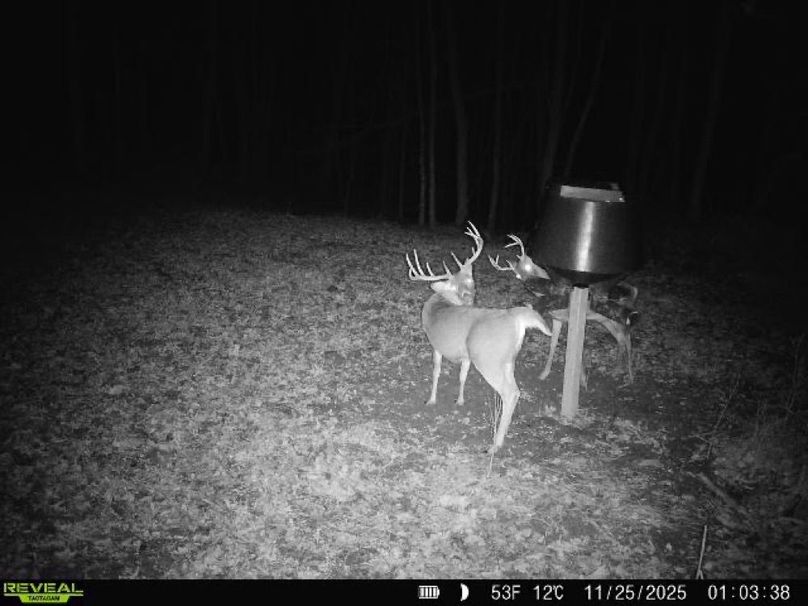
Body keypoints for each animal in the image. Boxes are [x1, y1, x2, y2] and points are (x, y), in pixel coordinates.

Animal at [406, 221, 552, 453]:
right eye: (467, 279)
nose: (470, 295)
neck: (440, 302)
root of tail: (516, 318)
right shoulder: (466, 355)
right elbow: (463, 375)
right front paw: (459, 401)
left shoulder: (435, 343)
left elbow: (436, 372)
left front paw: (431, 400)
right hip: (507, 360)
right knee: (516, 390)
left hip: (487, 358)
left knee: (510, 393)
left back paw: (495, 445)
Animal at [489, 234, 639, 386]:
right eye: (517, 274)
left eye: (528, 265)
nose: (527, 282)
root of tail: (634, 292)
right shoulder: (557, 319)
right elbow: (553, 344)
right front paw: (544, 374)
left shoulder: (570, 318)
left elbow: (576, 346)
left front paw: (583, 380)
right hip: (606, 321)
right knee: (620, 340)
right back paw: (616, 370)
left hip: (619, 319)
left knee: (628, 340)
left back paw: (630, 378)